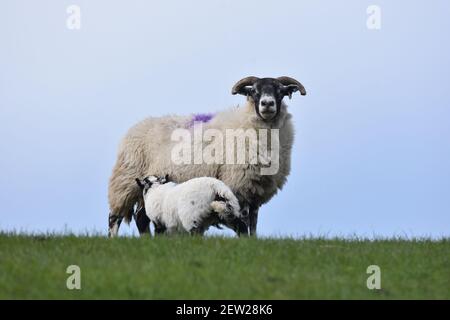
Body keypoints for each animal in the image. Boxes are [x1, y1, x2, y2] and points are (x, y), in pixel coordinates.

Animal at [108, 75, 306, 238]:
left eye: (280, 91)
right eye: (253, 92)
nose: (267, 104)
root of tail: (138, 125)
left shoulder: (255, 190)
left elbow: (254, 223)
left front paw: (253, 241)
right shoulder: (239, 187)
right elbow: (243, 221)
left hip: (148, 188)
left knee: (141, 216)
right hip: (125, 182)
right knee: (115, 217)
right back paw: (113, 239)